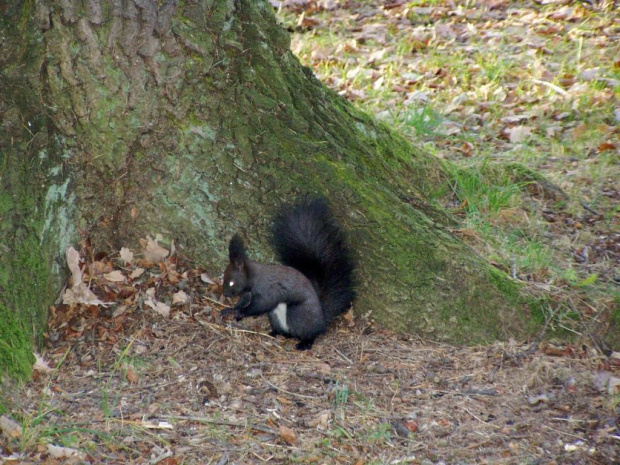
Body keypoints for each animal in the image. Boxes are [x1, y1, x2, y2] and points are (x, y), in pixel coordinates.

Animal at [224, 195, 356, 348]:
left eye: (232, 282)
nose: (225, 294)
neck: (254, 278)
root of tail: (322, 319)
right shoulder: (248, 293)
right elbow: (243, 300)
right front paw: (231, 309)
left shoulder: (268, 290)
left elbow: (261, 304)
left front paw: (242, 312)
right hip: (275, 316)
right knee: (287, 332)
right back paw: (275, 333)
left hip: (297, 313)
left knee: (311, 332)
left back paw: (305, 343)